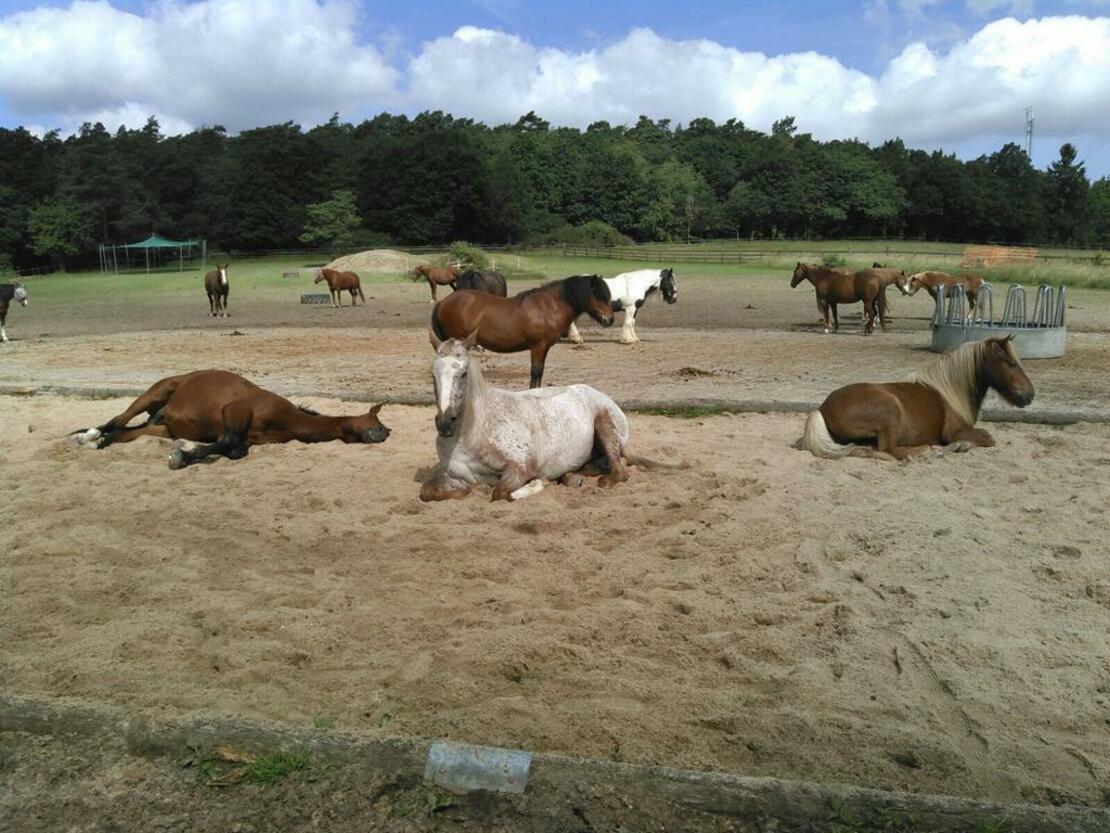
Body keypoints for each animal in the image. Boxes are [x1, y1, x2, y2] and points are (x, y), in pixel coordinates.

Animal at [72, 369, 390, 469]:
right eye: (378, 424)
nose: (387, 434)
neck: (287, 418)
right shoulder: (233, 413)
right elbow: (228, 441)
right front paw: (182, 457)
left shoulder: (247, 438)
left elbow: (235, 449)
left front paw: (185, 452)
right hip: (153, 394)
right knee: (116, 420)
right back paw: (88, 437)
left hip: (160, 428)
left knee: (123, 432)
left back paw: (98, 443)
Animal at [420, 331, 677, 501]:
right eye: (433, 374)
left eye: (463, 373)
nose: (445, 424)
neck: (473, 433)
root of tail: (602, 395)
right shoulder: (456, 474)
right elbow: (429, 492)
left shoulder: (520, 467)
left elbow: (501, 493)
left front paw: (537, 484)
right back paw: (572, 477)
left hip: (605, 426)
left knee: (619, 471)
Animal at [431, 274, 614, 389]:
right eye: (598, 295)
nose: (610, 320)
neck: (547, 307)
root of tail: (443, 302)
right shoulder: (537, 346)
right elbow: (535, 371)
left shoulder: (544, 348)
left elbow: (539, 372)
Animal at [798, 335, 1033, 461]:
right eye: (1011, 363)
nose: (1030, 394)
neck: (949, 391)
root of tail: (822, 408)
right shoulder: (953, 432)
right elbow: (988, 438)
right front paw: (960, 445)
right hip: (889, 411)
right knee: (891, 450)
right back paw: (931, 450)